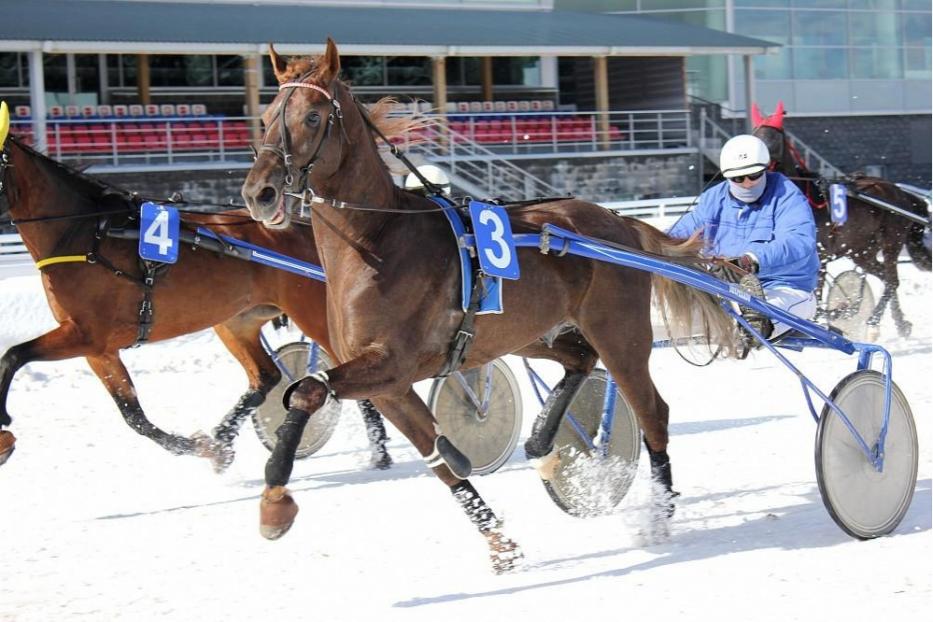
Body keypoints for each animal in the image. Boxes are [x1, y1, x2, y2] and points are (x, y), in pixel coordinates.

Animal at [240, 40, 736, 576]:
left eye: (312, 116)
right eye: (265, 116)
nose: (259, 192)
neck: (377, 240)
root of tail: (618, 222)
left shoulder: (392, 364)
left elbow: (307, 391)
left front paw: (274, 500)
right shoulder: (388, 384)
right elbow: (439, 460)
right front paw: (500, 543)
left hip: (619, 333)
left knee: (652, 412)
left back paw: (660, 516)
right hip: (534, 335)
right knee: (581, 361)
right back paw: (541, 443)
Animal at [752, 101, 928, 342]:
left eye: (775, 137)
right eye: (755, 135)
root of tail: (901, 193)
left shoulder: (819, 256)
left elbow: (814, 295)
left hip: (891, 241)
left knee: (892, 280)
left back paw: (873, 323)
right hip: (862, 251)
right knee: (886, 278)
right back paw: (901, 324)